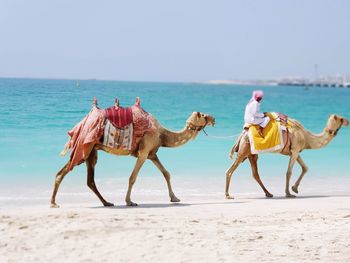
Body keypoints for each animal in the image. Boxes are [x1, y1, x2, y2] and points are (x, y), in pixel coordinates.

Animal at [50, 97, 215, 208]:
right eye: (204, 115)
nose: (214, 118)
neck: (162, 134)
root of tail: (81, 123)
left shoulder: (152, 154)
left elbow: (166, 173)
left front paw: (174, 198)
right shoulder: (143, 152)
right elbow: (132, 177)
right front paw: (129, 201)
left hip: (91, 151)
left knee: (90, 180)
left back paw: (107, 202)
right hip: (85, 147)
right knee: (63, 172)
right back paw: (53, 203)